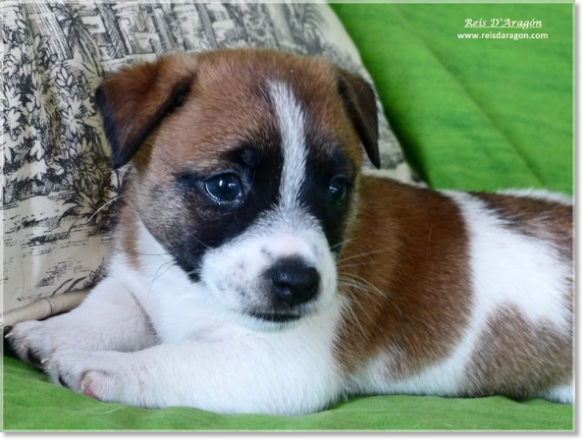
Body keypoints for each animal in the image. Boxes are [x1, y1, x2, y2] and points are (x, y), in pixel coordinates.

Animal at [6, 48, 572, 416]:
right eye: (226, 185)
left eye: (337, 188)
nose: (298, 283)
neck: (193, 289)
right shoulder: (140, 283)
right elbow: (111, 309)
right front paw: (53, 334)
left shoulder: (276, 366)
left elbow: (168, 359)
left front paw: (94, 365)